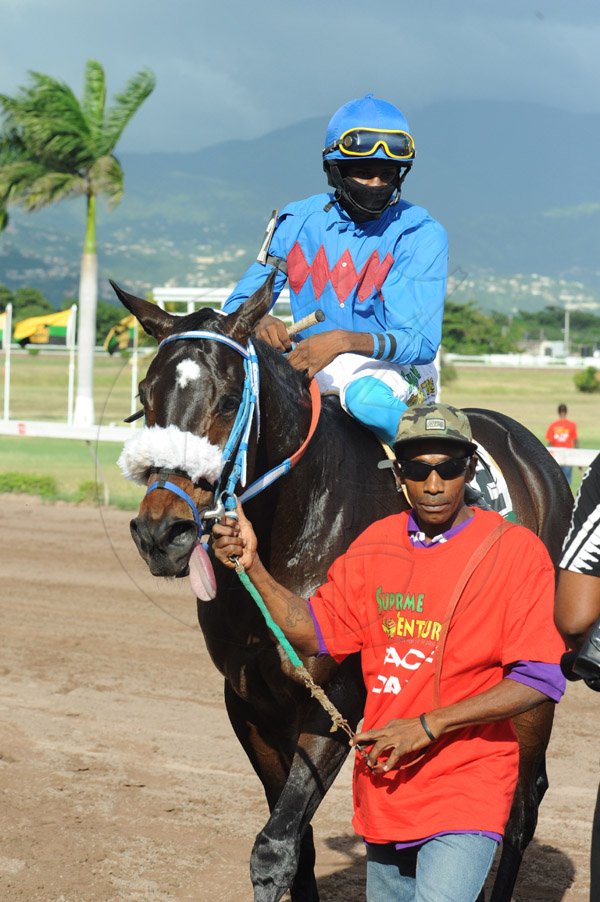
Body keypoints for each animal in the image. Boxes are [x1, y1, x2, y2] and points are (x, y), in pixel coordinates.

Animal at [111, 278, 572, 902]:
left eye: (229, 401)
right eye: (145, 394)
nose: (162, 532)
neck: (296, 525)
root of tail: (534, 452)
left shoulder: (339, 698)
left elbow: (275, 846)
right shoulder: (250, 701)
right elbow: (297, 841)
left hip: (532, 685)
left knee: (523, 802)